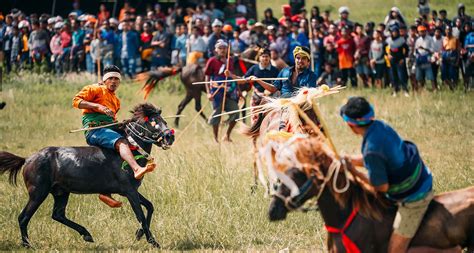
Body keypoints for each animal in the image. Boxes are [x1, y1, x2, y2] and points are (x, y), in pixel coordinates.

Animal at [0, 103, 175, 249]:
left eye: (164, 121)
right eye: (153, 122)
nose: (169, 136)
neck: (131, 152)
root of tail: (27, 159)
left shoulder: (129, 191)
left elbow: (150, 207)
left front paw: (139, 234)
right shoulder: (129, 191)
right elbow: (141, 215)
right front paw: (153, 242)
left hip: (61, 192)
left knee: (58, 214)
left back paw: (86, 234)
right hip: (38, 193)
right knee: (23, 217)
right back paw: (27, 244)